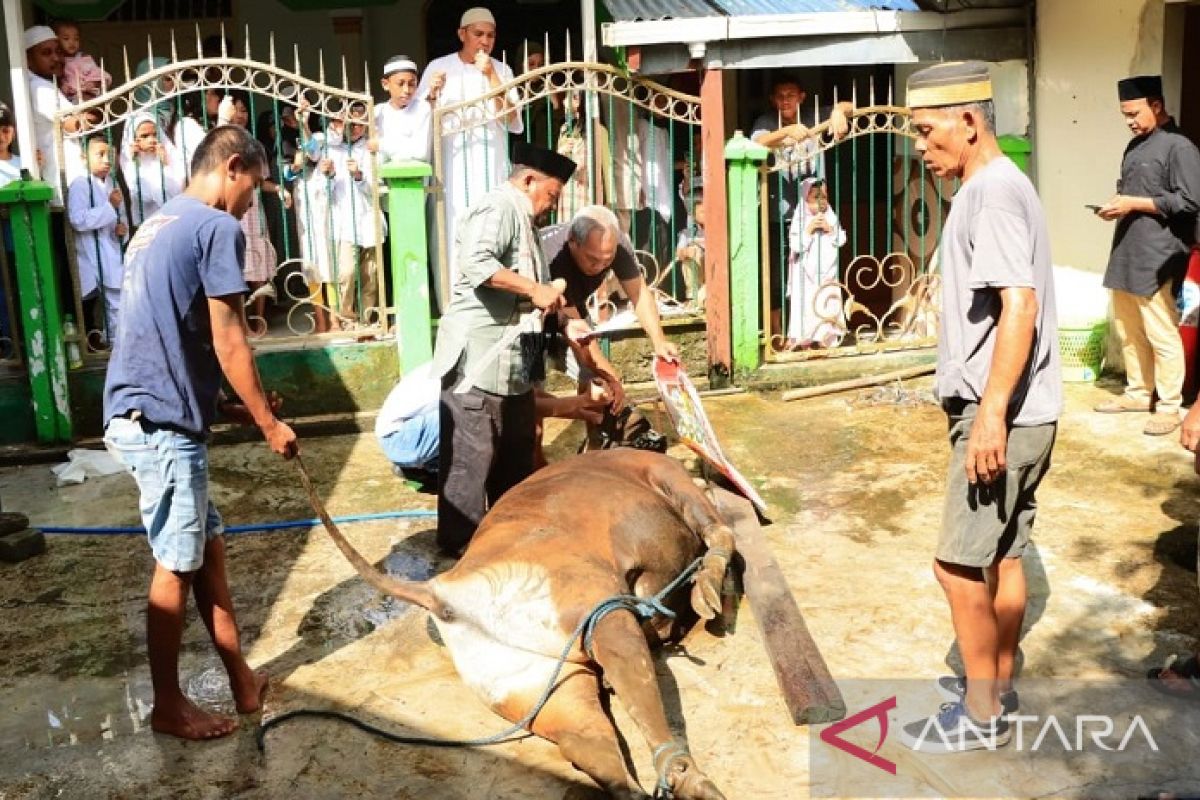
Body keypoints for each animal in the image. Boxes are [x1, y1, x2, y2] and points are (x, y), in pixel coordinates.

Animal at [319, 450, 729, 800]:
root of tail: (444, 595)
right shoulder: (670, 479)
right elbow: (719, 531)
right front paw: (704, 591)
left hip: (532, 683)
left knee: (585, 740)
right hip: (591, 605)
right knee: (627, 664)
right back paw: (692, 777)